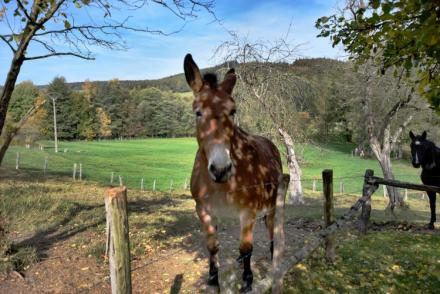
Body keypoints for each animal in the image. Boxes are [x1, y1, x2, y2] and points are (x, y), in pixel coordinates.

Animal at [184, 54, 284, 292]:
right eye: (198, 112)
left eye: (233, 111)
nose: (220, 169)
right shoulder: (204, 211)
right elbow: (212, 246)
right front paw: (213, 279)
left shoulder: (247, 212)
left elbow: (246, 248)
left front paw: (247, 281)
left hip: (272, 206)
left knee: (270, 230)